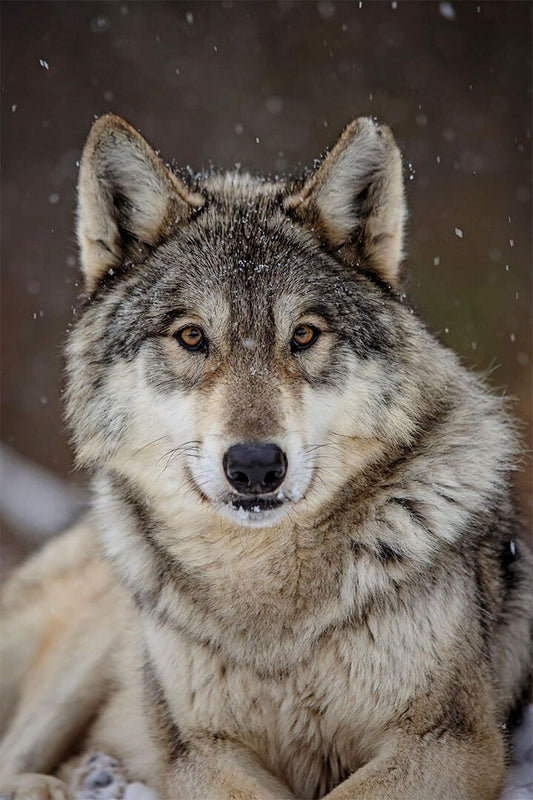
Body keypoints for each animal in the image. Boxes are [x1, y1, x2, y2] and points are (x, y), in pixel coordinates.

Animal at [0, 114, 531, 800]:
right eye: (191, 336)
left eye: (303, 334)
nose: (255, 465)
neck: (268, 596)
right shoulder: (197, 751)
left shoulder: (452, 739)